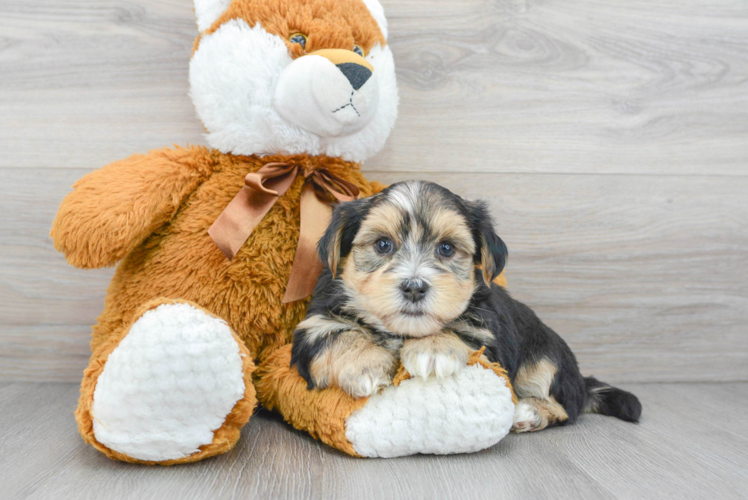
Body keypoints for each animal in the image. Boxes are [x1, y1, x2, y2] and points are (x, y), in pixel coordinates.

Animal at [290, 182, 640, 432]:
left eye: (446, 249)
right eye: (382, 245)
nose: (414, 287)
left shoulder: (490, 336)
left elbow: (463, 332)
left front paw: (434, 350)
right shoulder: (313, 326)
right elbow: (337, 336)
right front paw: (366, 365)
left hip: (548, 359)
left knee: (567, 405)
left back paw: (529, 411)